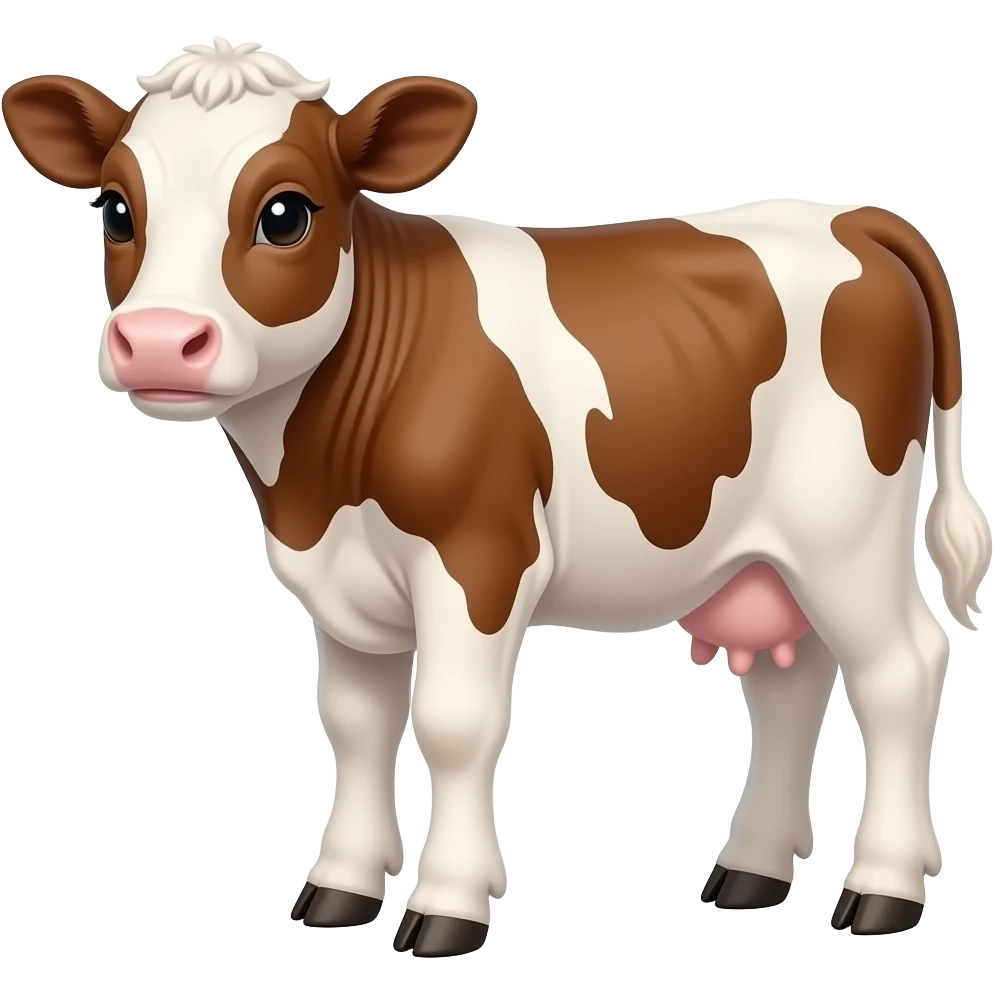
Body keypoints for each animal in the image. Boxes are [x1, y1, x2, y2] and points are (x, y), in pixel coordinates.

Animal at [4, 41, 989, 955]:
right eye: (116, 209)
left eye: (285, 213)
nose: (157, 340)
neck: (313, 481)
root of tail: (850, 215)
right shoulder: (346, 584)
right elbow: (355, 726)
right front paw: (339, 890)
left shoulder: (479, 556)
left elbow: (451, 723)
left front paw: (446, 907)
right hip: (766, 554)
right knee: (794, 680)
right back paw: (750, 873)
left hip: (845, 532)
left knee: (900, 670)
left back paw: (883, 890)